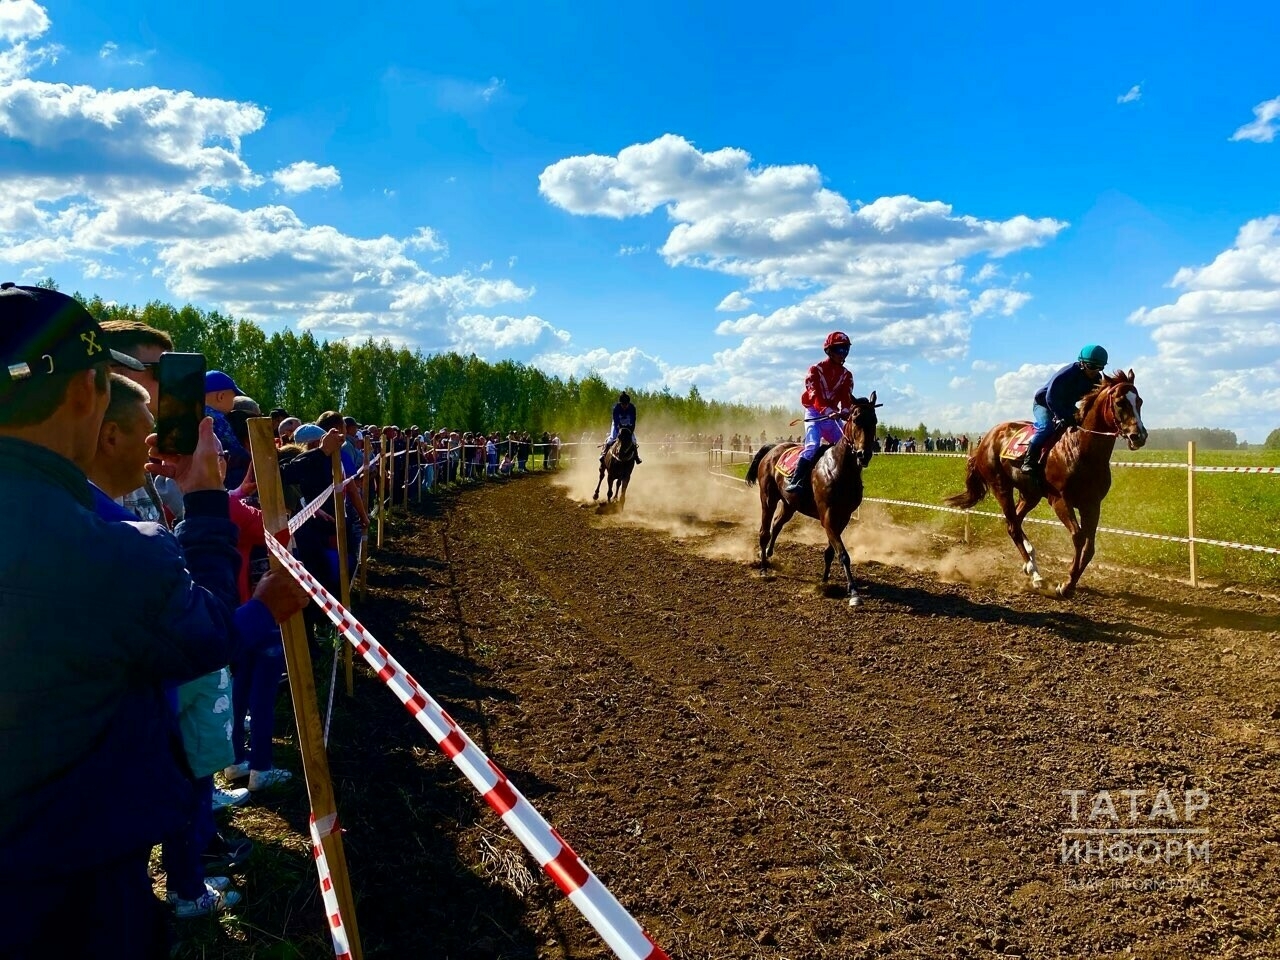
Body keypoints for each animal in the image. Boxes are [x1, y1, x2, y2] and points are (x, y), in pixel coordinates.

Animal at [747, 396, 885, 609]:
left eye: (874, 420)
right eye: (855, 419)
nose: (864, 454)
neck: (838, 469)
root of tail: (773, 449)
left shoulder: (843, 517)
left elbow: (831, 551)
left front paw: (825, 579)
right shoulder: (827, 516)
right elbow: (843, 554)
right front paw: (854, 592)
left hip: (790, 504)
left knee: (777, 524)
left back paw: (770, 553)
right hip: (768, 498)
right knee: (764, 531)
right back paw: (763, 568)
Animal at [942, 371, 1152, 599]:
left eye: (1140, 401)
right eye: (1120, 402)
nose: (1139, 436)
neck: (1080, 450)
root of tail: (986, 438)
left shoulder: (1092, 504)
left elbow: (1089, 547)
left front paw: (1070, 583)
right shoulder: (1060, 500)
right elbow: (1078, 537)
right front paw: (1066, 584)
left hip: (1030, 494)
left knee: (1015, 522)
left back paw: (1031, 563)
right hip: (1001, 487)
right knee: (1013, 525)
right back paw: (1035, 575)